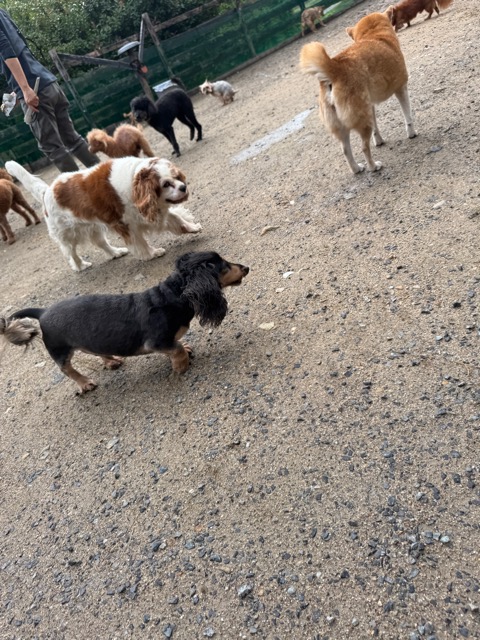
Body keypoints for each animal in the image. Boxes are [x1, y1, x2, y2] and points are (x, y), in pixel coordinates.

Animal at [0, 251, 249, 394]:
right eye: (224, 266)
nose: (246, 267)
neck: (173, 295)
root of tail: (43, 312)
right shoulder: (156, 342)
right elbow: (176, 349)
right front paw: (181, 366)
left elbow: (179, 344)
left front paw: (185, 350)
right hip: (60, 350)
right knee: (67, 369)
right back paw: (84, 383)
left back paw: (110, 360)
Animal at [5, 157, 202, 271]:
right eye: (165, 184)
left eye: (177, 177)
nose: (183, 187)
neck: (133, 182)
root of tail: (47, 191)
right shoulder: (126, 224)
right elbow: (140, 243)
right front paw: (152, 253)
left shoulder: (150, 213)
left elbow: (176, 219)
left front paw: (191, 227)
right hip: (68, 235)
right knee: (71, 253)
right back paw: (81, 266)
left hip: (93, 227)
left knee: (101, 243)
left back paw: (115, 252)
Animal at [299, 10, 417, 174]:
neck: (374, 35)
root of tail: (335, 67)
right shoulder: (401, 88)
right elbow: (408, 115)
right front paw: (411, 133)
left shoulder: (370, 105)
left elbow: (376, 129)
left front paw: (379, 141)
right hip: (362, 119)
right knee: (364, 148)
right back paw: (373, 166)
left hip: (347, 123)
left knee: (345, 150)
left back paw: (356, 169)